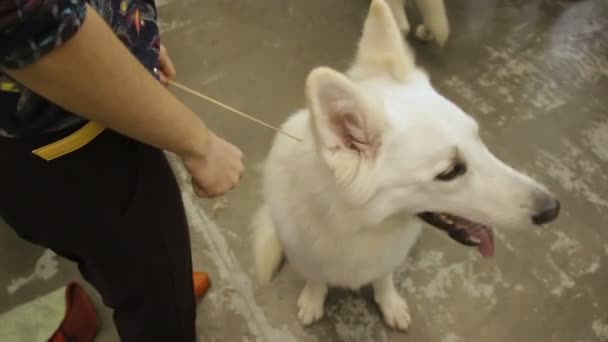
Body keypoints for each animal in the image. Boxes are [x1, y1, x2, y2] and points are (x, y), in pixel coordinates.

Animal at [253, 0, 560, 332]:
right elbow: (315, 279)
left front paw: (389, 303)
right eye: (450, 171)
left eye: (477, 137)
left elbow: (383, 279)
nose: (552, 209)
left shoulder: (386, 260)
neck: (356, 226)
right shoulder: (305, 257)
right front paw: (313, 299)